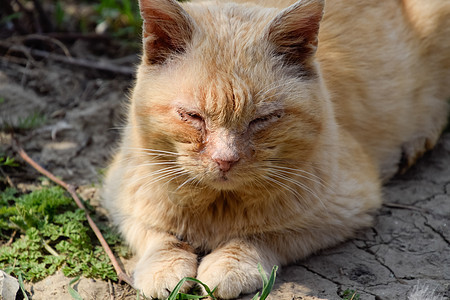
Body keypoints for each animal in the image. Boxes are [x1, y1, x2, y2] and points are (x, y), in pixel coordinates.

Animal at [103, 0, 450, 298]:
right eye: (192, 116)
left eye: (263, 119)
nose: (225, 160)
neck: (218, 206)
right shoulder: (121, 193)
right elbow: (157, 233)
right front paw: (163, 268)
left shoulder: (343, 209)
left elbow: (261, 235)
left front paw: (229, 265)